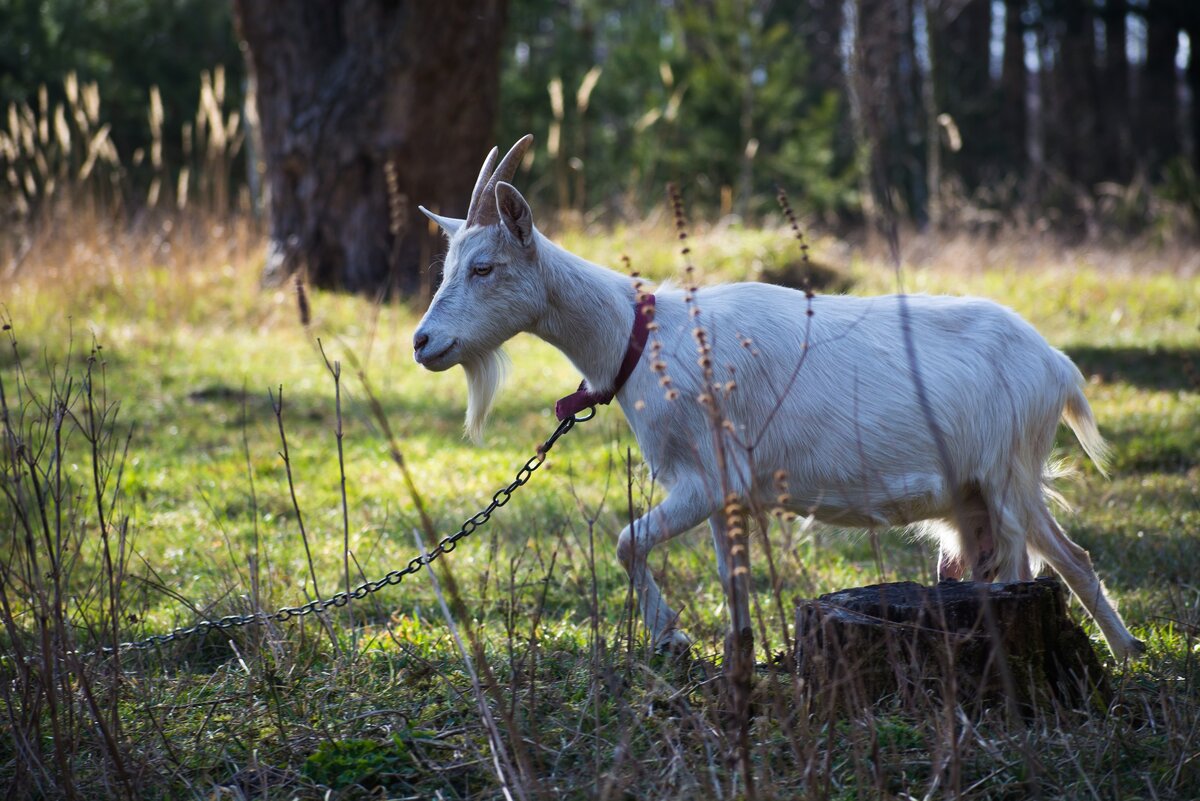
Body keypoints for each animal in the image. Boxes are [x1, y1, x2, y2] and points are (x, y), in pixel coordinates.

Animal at [410, 137, 1142, 661]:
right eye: (449, 267)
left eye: (484, 267)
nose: (423, 342)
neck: (643, 338)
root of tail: (1057, 365)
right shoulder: (725, 492)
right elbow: (729, 577)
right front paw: (738, 658)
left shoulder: (708, 476)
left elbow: (624, 541)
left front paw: (671, 638)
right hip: (977, 493)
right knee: (1062, 558)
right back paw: (1129, 651)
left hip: (1005, 472)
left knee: (1034, 563)